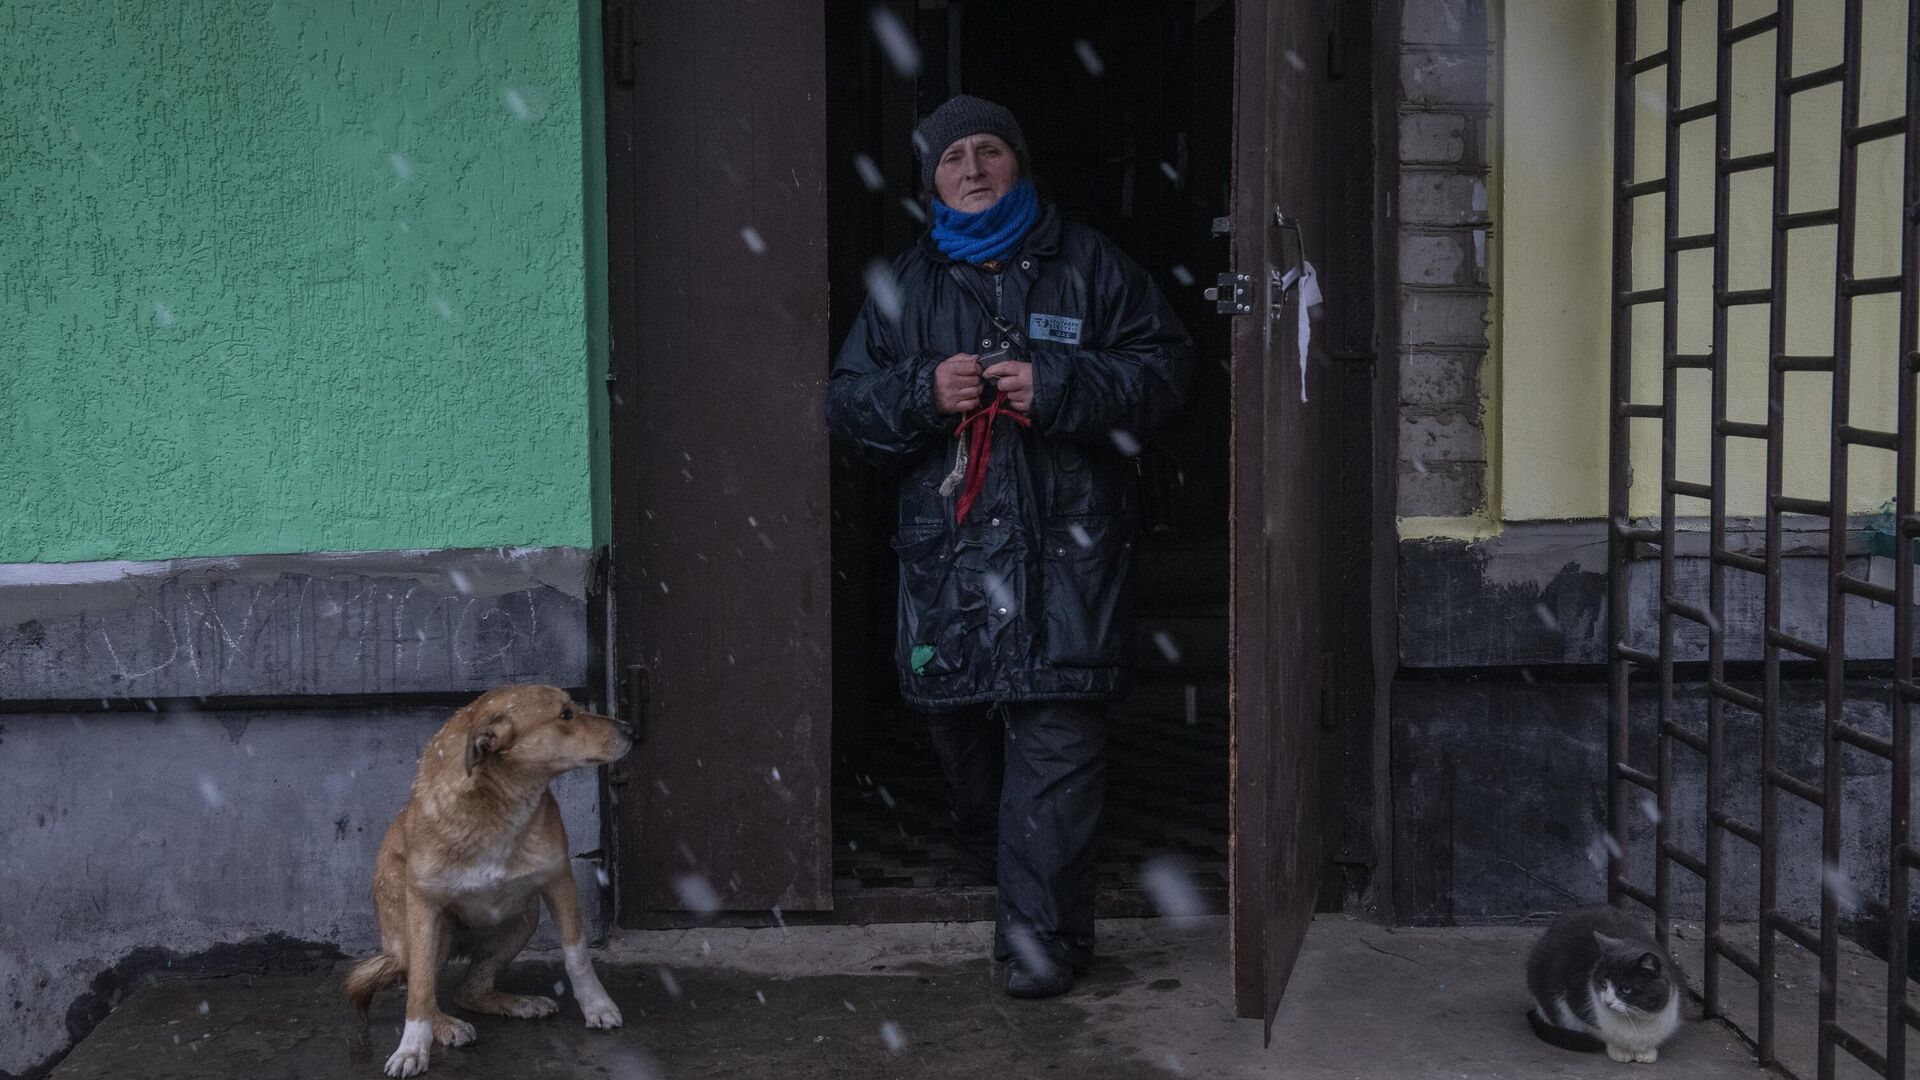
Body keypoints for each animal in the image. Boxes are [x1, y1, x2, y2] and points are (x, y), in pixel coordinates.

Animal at [347, 684, 637, 1068]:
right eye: (565, 715)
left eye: (572, 708)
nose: (631, 729)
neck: (499, 806)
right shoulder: (423, 907)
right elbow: (420, 988)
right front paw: (411, 1047)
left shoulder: (559, 880)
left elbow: (577, 955)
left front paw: (597, 1005)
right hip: (433, 934)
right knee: (421, 982)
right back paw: (444, 1024)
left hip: (525, 917)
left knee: (469, 989)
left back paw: (518, 1003)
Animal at [1528, 899, 1681, 1060]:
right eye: (1603, 984)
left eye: (1626, 989)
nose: (1607, 1002)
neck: (1635, 1020)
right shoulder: (1573, 998)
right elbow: (1601, 1032)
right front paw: (1618, 1050)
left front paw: (1646, 1051)